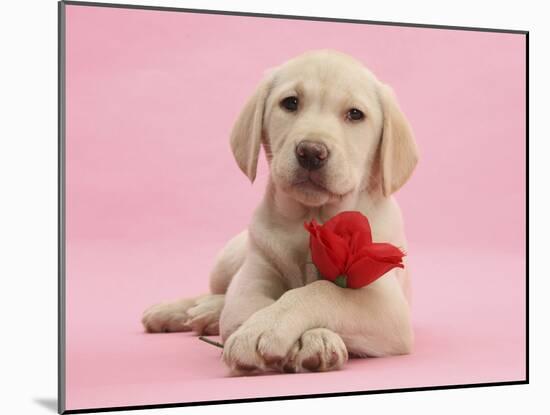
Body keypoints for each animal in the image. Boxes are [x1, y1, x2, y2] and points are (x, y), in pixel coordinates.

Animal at [142, 49, 418, 376]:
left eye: (355, 114)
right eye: (290, 103)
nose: (311, 152)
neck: (310, 218)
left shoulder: (385, 303)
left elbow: (321, 291)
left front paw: (308, 338)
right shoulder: (251, 281)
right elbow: (250, 306)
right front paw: (257, 330)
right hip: (228, 259)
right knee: (216, 292)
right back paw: (179, 310)